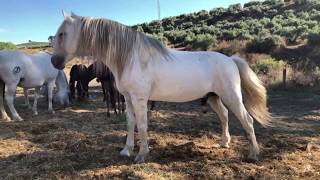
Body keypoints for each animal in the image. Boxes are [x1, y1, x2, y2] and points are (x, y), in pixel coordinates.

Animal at [51, 11, 272, 162]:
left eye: (62, 34)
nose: (54, 61)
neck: (131, 58)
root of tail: (231, 60)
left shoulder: (140, 99)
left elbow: (142, 125)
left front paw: (141, 155)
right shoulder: (128, 99)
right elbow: (130, 123)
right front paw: (126, 150)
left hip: (231, 96)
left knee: (247, 120)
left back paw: (253, 154)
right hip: (213, 96)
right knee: (224, 116)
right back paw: (224, 143)